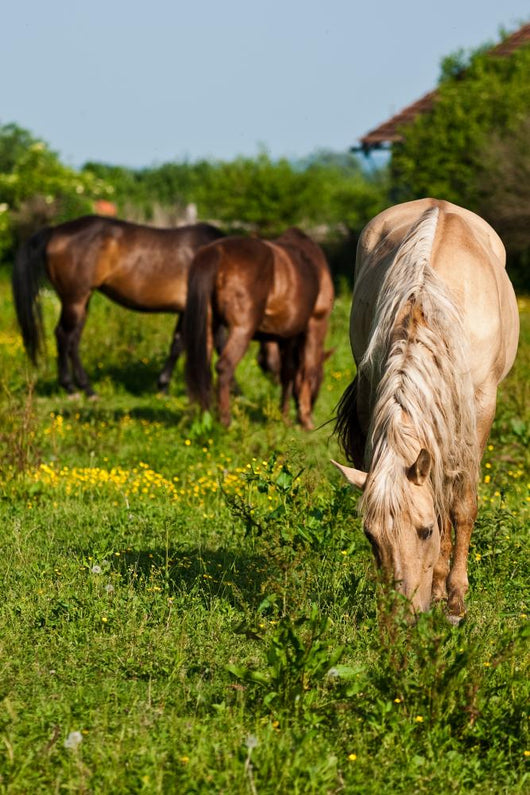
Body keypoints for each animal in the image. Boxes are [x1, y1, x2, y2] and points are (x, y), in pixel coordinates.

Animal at [12, 215, 224, 396]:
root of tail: (55, 230)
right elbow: (212, 344)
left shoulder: (187, 310)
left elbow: (180, 343)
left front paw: (163, 385)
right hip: (74, 299)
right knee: (64, 336)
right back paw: (72, 388)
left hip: (82, 302)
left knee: (73, 340)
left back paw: (85, 388)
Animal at [183, 228, 334, 429]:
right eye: (322, 378)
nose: (313, 405)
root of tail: (217, 252)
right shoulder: (315, 323)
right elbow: (306, 370)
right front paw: (305, 419)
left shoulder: (286, 336)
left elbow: (287, 372)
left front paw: (284, 416)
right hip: (242, 329)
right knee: (224, 367)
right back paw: (226, 421)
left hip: (208, 326)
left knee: (203, 369)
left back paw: (205, 416)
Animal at [333, 198, 519, 622]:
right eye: (371, 536)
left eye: (424, 531)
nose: (403, 616)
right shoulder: (374, 392)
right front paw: (435, 590)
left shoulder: (480, 406)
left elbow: (461, 506)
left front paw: (454, 602)